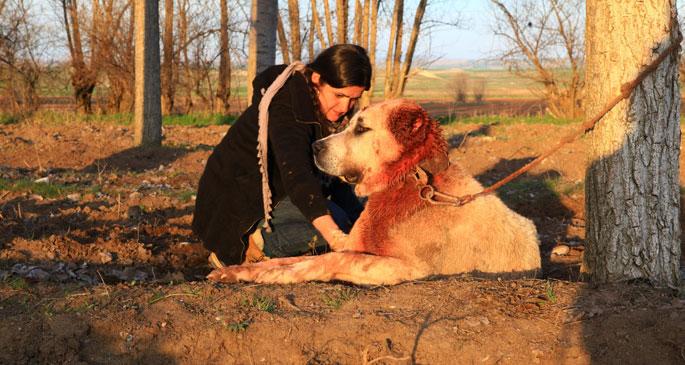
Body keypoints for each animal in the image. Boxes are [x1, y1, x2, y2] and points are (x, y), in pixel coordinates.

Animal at [208, 99, 540, 284]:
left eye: (361, 129)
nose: (315, 147)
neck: (409, 179)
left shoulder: (409, 268)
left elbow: (330, 261)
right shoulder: (351, 243)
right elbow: (288, 260)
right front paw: (236, 270)